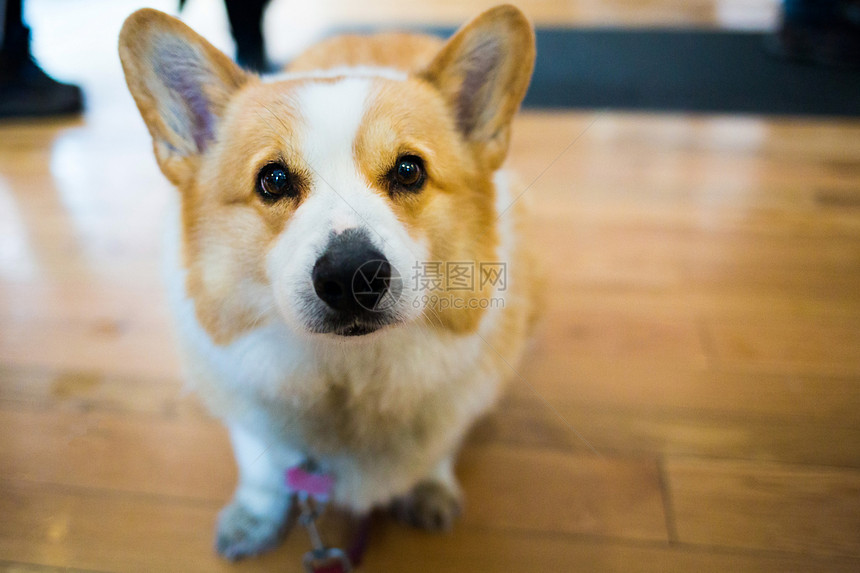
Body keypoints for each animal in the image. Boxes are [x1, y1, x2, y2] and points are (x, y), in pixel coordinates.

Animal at [119, 3, 536, 560]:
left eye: (409, 170)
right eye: (273, 179)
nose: (351, 275)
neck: (347, 373)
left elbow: (439, 444)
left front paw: (429, 485)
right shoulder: (245, 389)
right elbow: (260, 463)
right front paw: (255, 515)